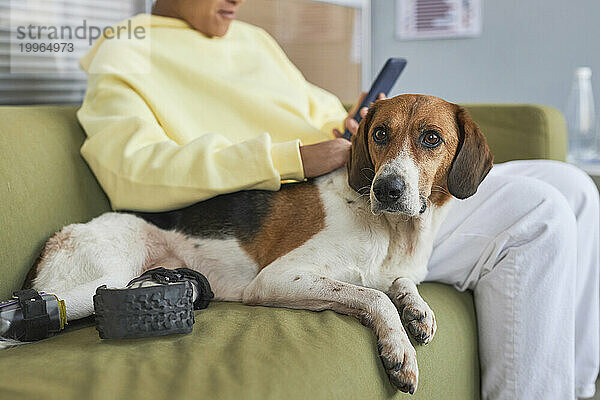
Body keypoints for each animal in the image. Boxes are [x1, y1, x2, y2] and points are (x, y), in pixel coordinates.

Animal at [25, 94, 492, 394]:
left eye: (431, 138)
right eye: (379, 134)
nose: (387, 189)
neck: (394, 231)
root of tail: (60, 234)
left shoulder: (395, 269)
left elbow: (399, 285)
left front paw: (417, 309)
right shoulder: (278, 279)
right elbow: (373, 297)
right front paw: (399, 350)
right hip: (94, 284)